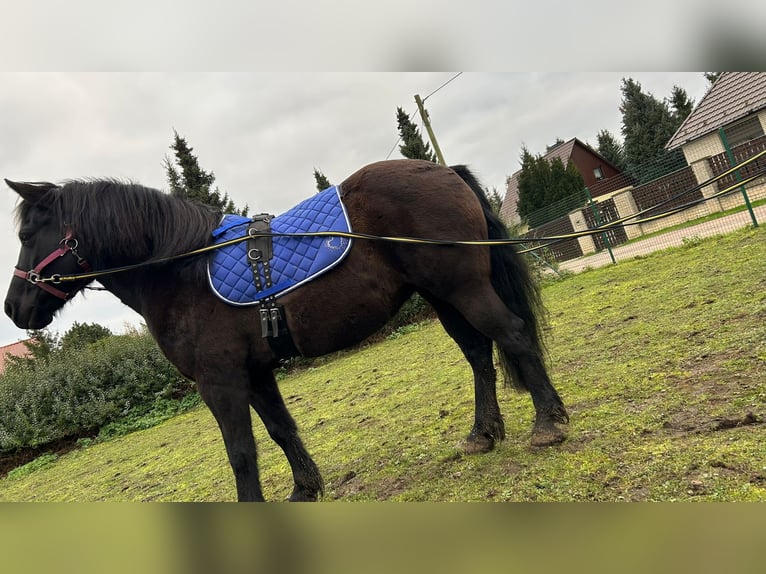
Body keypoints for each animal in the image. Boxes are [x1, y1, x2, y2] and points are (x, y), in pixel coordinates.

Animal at [3, 160, 568, 502]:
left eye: (28, 233)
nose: (14, 309)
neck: (183, 268)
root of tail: (442, 171)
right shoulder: (255, 374)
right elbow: (280, 430)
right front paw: (305, 488)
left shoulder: (220, 381)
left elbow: (241, 451)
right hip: (443, 297)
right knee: (477, 352)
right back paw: (482, 434)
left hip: (463, 289)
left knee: (513, 335)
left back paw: (548, 425)